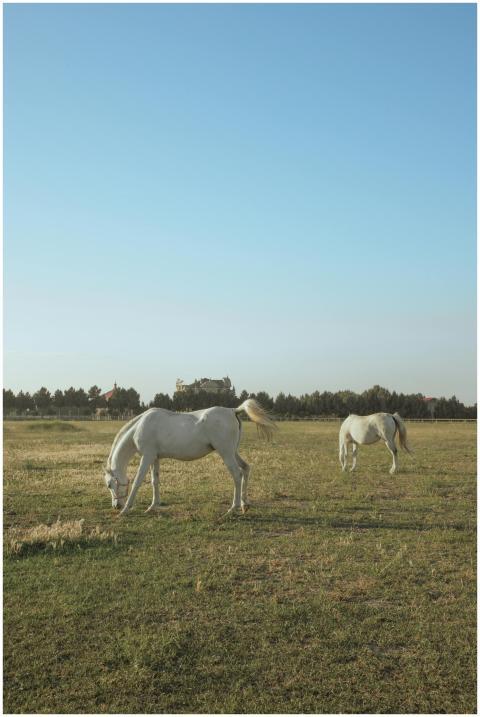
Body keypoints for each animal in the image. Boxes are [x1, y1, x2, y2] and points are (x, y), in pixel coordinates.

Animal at [103, 399, 276, 516]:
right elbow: (155, 481)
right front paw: (153, 506)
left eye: (110, 485)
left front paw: (126, 510)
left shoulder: (146, 457)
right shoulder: (155, 458)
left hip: (226, 453)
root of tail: (233, 410)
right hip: (233, 452)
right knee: (246, 468)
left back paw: (233, 508)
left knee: (237, 475)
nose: (116, 506)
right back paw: (245, 504)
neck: (140, 426)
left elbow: (138, 482)